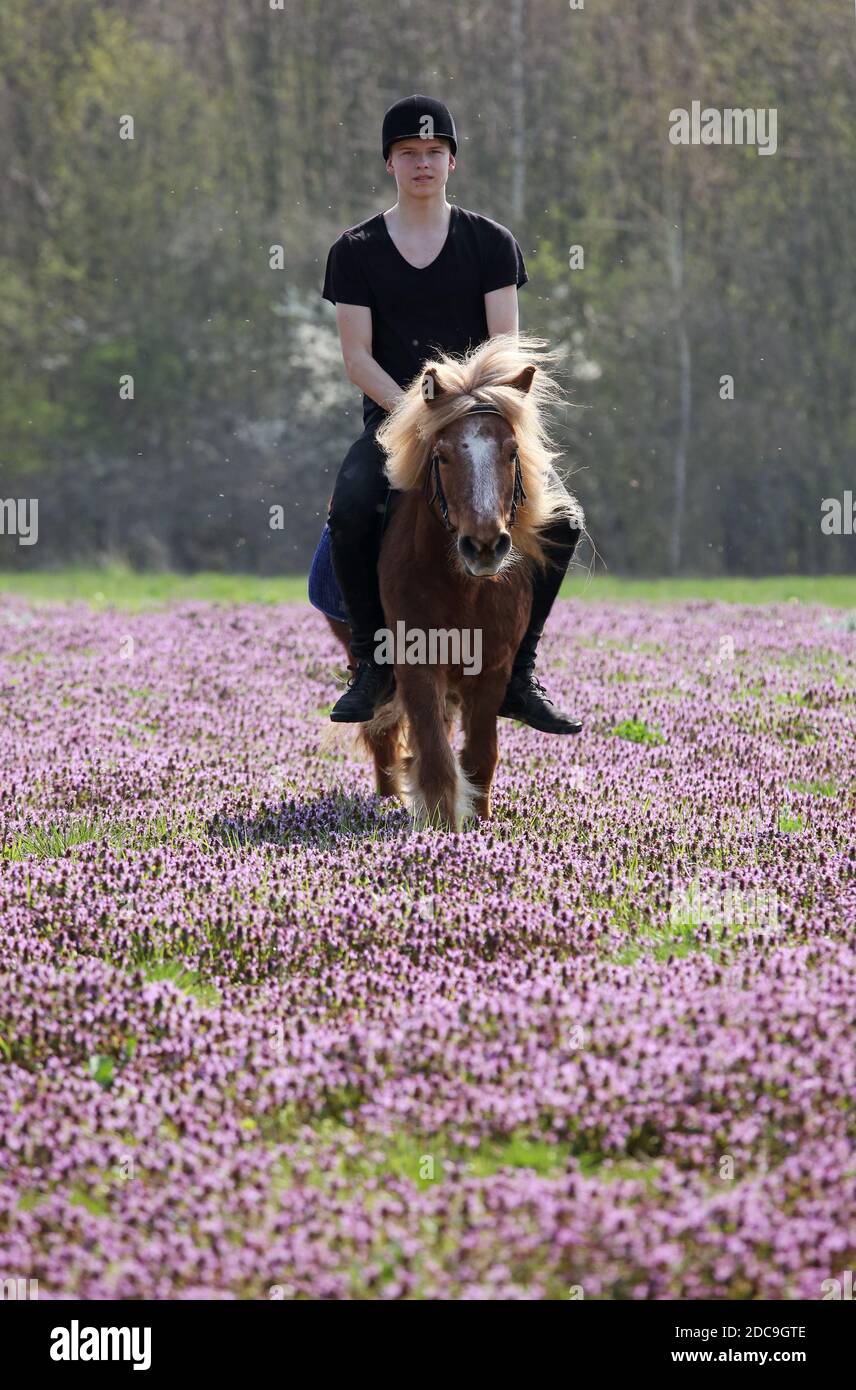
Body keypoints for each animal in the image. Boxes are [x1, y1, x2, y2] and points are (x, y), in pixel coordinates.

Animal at [327, 330, 580, 828]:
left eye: (512, 452)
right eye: (441, 456)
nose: (484, 546)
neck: (466, 589)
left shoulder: (493, 667)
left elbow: (480, 755)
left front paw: (478, 823)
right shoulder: (417, 663)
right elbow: (436, 759)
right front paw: (442, 829)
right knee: (382, 731)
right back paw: (389, 798)